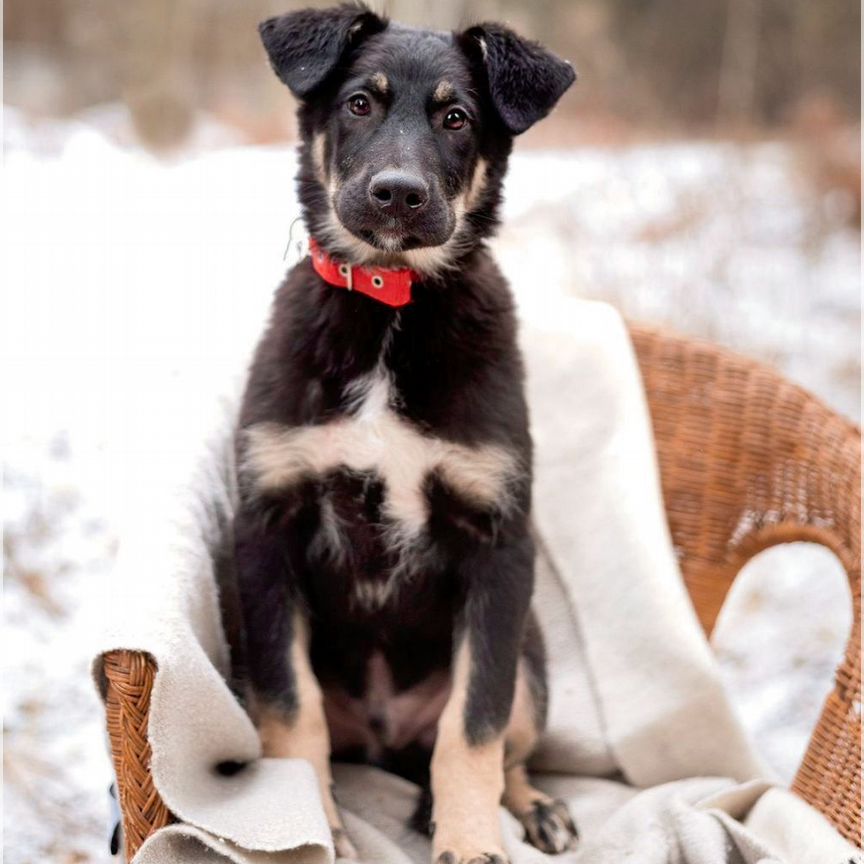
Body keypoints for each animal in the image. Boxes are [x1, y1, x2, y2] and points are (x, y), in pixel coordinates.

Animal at [233, 8, 576, 864]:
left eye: (457, 120)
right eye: (359, 103)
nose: (398, 193)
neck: (392, 304)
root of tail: (387, 742)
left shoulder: (498, 545)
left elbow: (474, 726)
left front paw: (470, 840)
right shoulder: (267, 529)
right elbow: (292, 712)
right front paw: (311, 829)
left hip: (532, 657)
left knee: (501, 743)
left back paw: (527, 807)